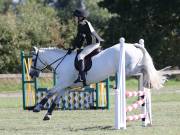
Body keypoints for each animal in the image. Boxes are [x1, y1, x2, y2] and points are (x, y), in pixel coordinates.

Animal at [29, 39, 166, 120]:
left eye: (33, 59)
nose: (31, 74)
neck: (61, 62)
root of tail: (132, 46)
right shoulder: (66, 87)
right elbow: (56, 99)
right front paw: (47, 115)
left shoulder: (62, 83)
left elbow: (49, 92)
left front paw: (37, 108)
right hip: (130, 69)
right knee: (143, 70)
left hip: (130, 69)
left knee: (143, 69)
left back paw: (147, 80)